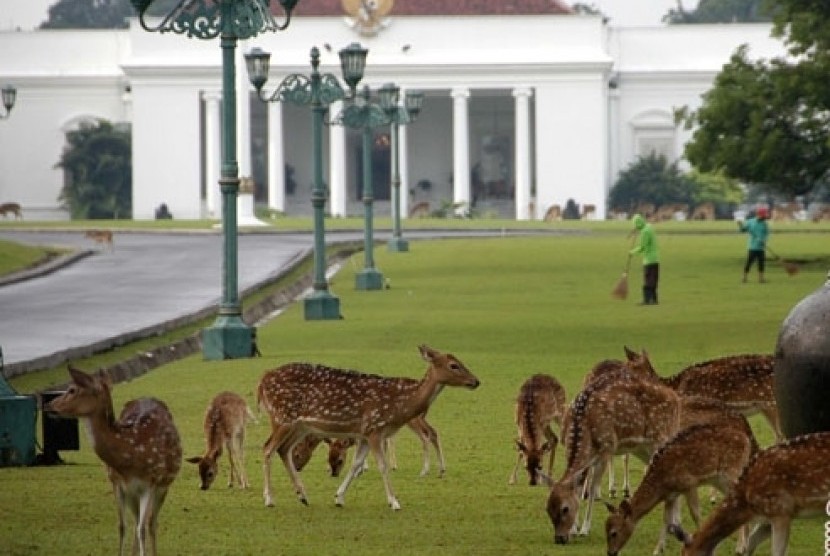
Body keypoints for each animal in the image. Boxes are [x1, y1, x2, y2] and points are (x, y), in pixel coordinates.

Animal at [44, 364, 181, 556]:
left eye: (72, 389)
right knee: (137, 521)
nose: (47, 404)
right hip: (133, 494)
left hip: (164, 485)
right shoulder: (117, 483)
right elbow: (122, 526)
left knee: (151, 523)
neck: (130, 456)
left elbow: (142, 529)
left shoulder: (151, 482)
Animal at [258, 346, 480, 510]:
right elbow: (382, 465)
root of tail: (261, 381)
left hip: (300, 426)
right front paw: (394, 502)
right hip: (281, 416)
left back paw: (303, 496)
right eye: (454, 365)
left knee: (283, 449)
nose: (476, 381)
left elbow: (356, 464)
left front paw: (339, 498)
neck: (400, 405)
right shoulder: (374, 428)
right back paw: (269, 499)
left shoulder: (364, 434)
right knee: (268, 448)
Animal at [604, 408, 760, 556]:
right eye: (605, 528)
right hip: (719, 480)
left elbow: (696, 515)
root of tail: (747, 440)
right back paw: (744, 544)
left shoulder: (689, 483)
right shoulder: (671, 495)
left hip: (732, 472)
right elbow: (667, 519)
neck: (662, 481)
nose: (611, 552)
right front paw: (658, 550)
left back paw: (740, 547)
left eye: (614, 533)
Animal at [672, 430, 830, 556]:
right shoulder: (767, 519)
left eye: (687, 555)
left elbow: (776, 553)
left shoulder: (781, 511)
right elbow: (749, 546)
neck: (747, 503)